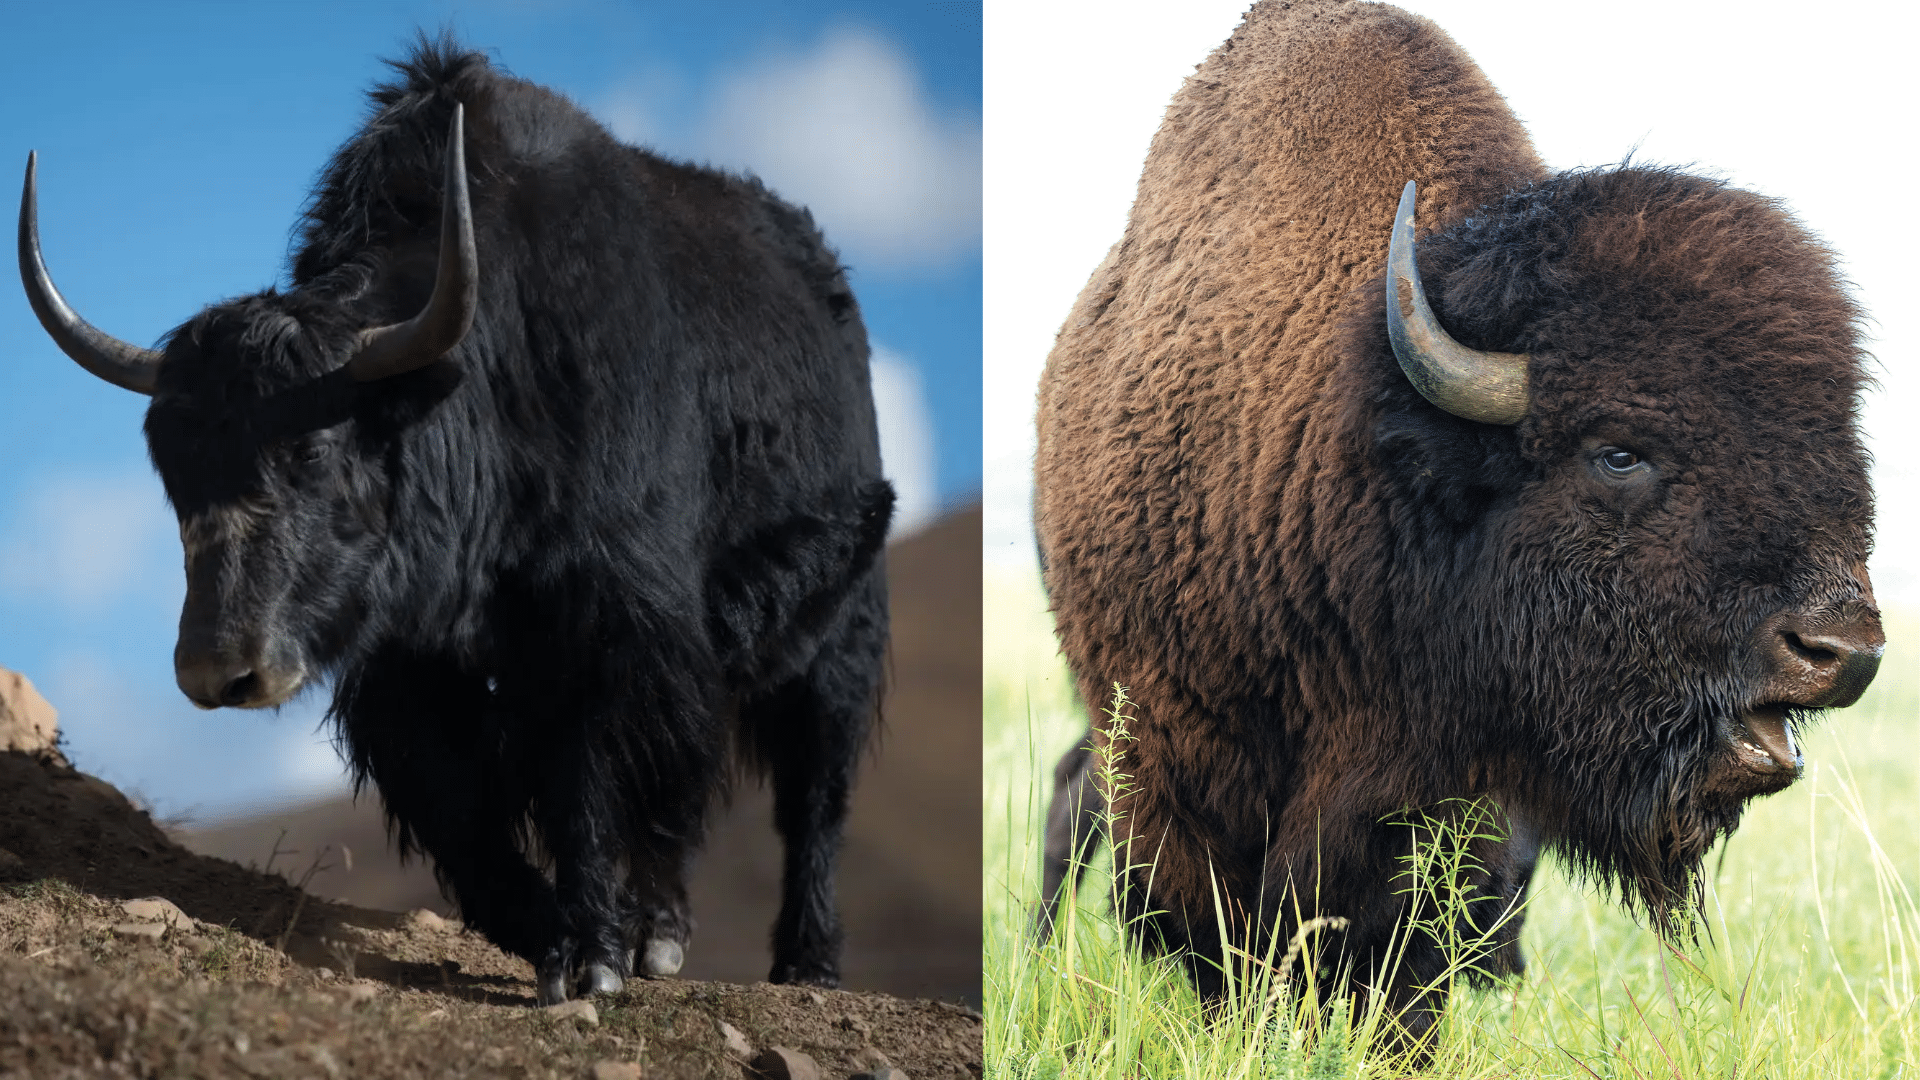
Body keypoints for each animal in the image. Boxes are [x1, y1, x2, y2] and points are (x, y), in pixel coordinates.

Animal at [19, 38, 893, 1003]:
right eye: (172, 473)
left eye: (314, 450)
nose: (220, 671)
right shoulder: (408, 666)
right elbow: (457, 804)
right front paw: (546, 932)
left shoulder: (609, 626)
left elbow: (589, 781)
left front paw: (592, 957)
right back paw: (660, 930)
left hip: (843, 622)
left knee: (813, 789)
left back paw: (800, 963)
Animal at [1032, 0, 1883, 1041]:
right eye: (1620, 451)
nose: (1841, 651)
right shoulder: (1182, 751)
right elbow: (1217, 926)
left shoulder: (1456, 786)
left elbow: (1408, 939)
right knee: (1079, 808)